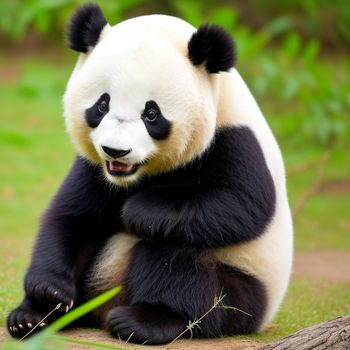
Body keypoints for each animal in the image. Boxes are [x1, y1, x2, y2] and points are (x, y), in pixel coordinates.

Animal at [7, 4, 292, 346]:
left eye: (151, 114)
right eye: (102, 105)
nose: (116, 151)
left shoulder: (235, 141)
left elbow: (240, 204)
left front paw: (136, 211)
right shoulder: (94, 168)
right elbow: (72, 217)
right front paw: (49, 292)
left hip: (244, 288)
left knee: (181, 263)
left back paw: (146, 321)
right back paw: (32, 317)